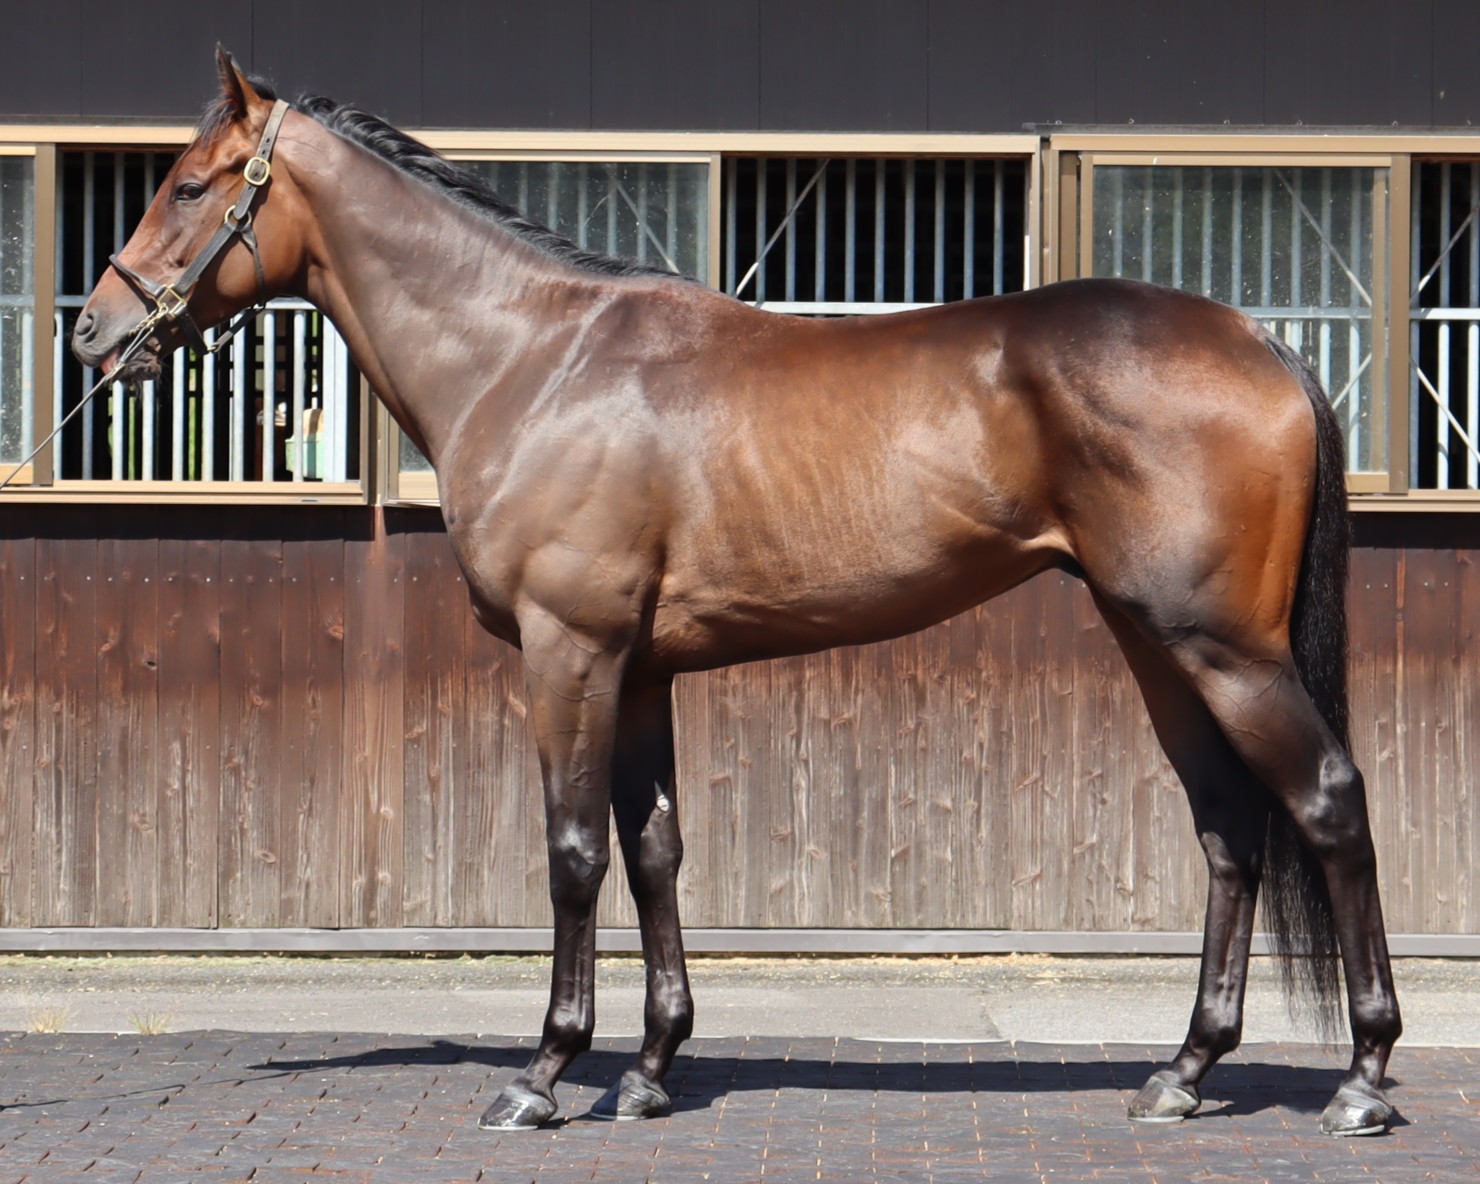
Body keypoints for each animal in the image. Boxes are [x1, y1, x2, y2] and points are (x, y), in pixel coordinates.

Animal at [72, 50, 1401, 1136]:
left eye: (190, 184)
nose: (91, 333)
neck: (535, 359)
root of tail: (1260, 342)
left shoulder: (569, 650)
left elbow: (572, 852)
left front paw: (544, 1074)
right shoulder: (640, 666)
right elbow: (654, 847)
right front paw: (651, 1067)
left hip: (1223, 645)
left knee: (1328, 802)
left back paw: (1362, 1078)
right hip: (1155, 641)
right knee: (1229, 827)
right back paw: (1183, 1070)